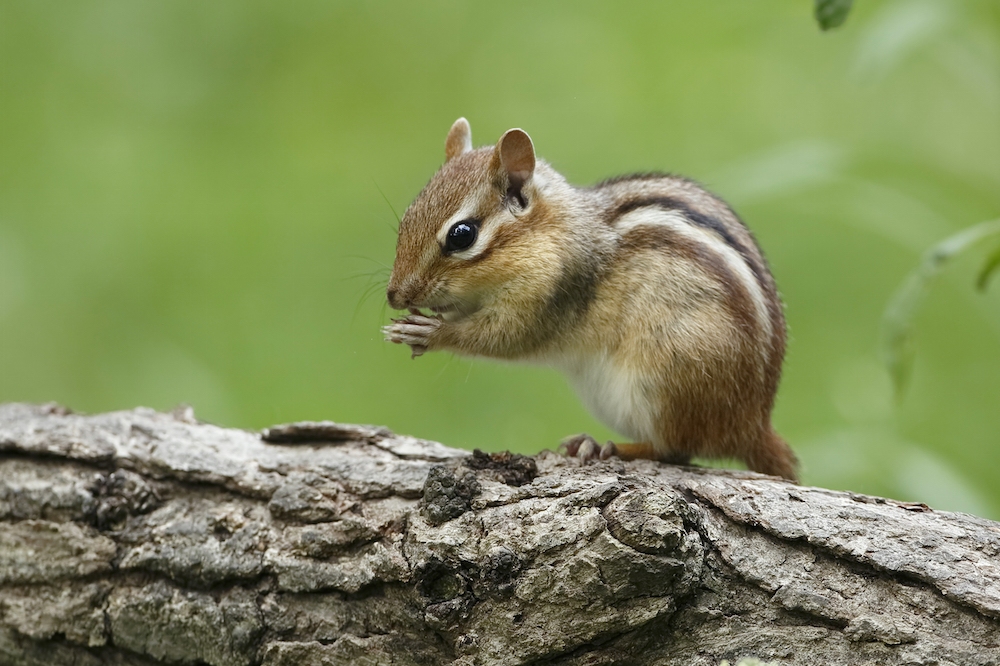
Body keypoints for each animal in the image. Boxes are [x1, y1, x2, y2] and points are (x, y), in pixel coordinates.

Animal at [383, 118, 798, 481]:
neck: (552, 232)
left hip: (666, 378)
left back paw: (607, 447)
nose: (394, 295)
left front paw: (431, 333)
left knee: (676, 448)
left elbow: (501, 338)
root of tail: (752, 424)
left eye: (462, 235)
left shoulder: (549, 296)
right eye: (406, 220)